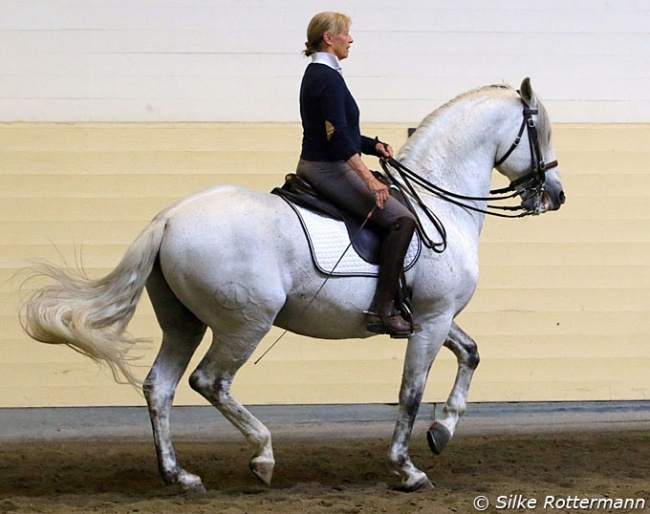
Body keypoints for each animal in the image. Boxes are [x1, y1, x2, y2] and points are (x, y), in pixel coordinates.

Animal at [20, 78, 560, 490]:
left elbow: (470, 353)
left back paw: (180, 476)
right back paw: (262, 455)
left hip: (184, 323)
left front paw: (443, 431)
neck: (439, 203)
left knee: (161, 387)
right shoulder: (431, 320)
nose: (554, 195)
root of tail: (169, 218)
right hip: (245, 323)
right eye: (541, 131)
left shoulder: (435, 317)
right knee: (209, 381)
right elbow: (410, 391)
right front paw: (407, 469)